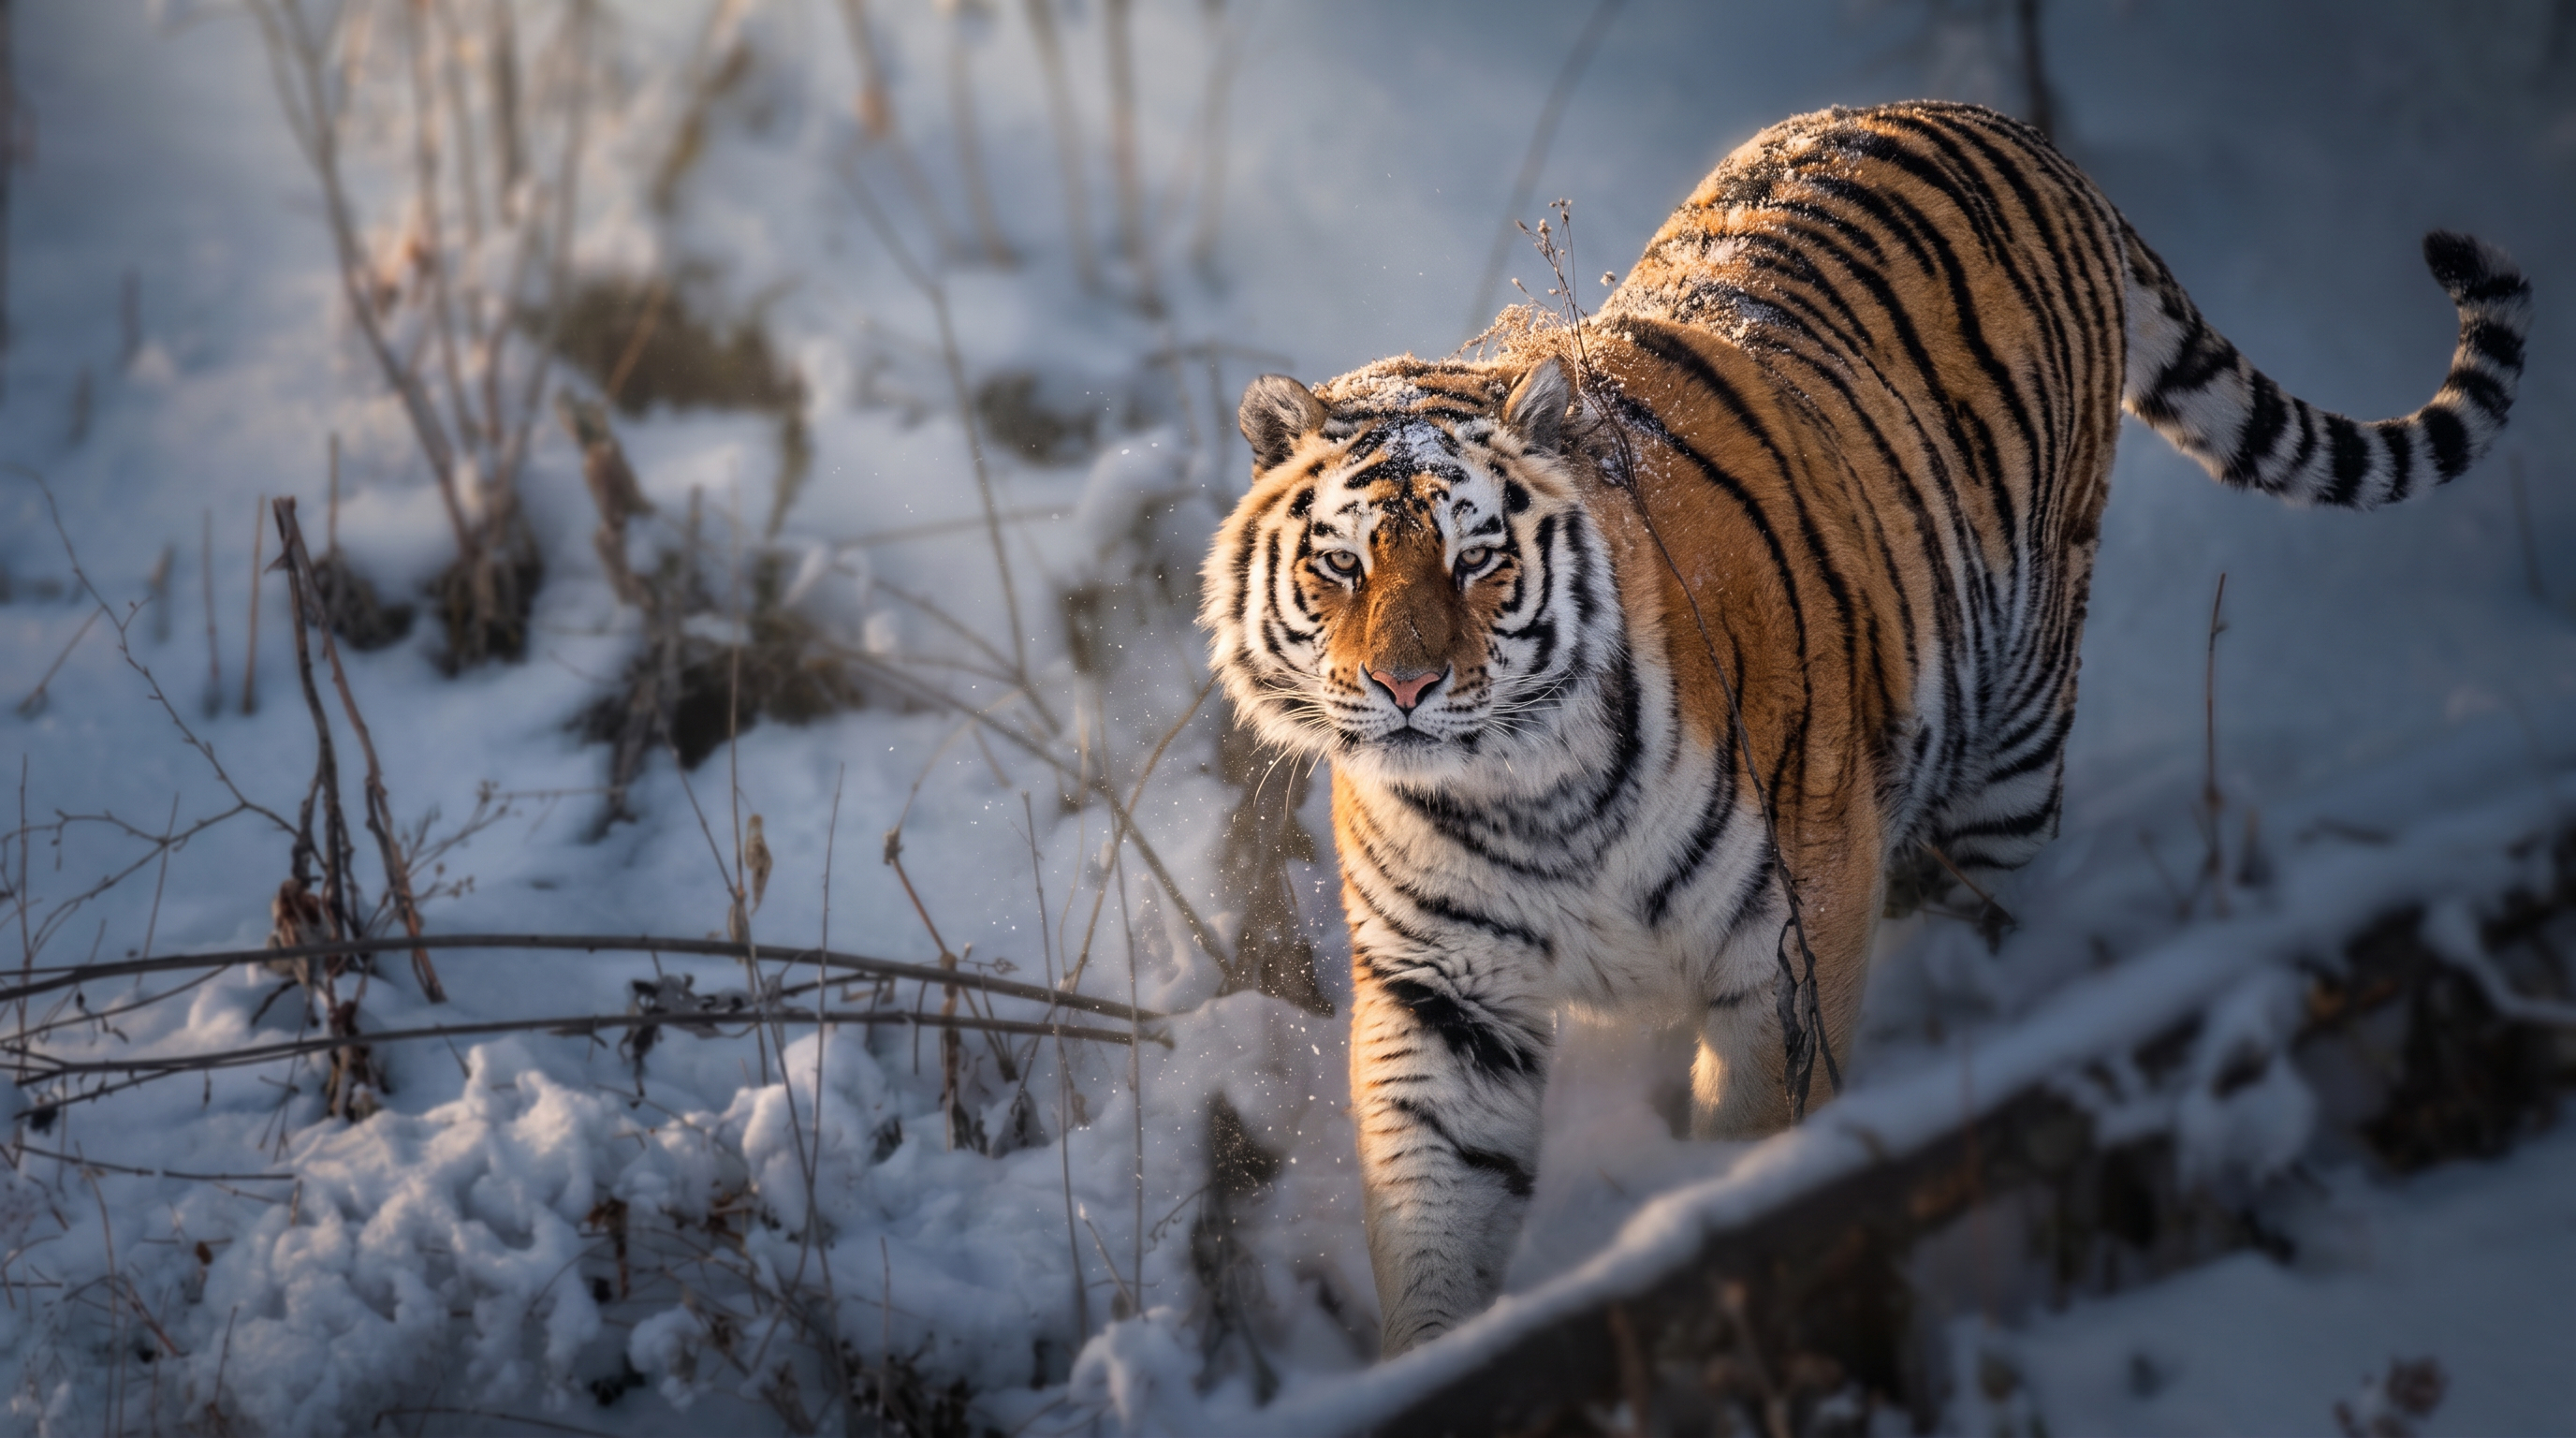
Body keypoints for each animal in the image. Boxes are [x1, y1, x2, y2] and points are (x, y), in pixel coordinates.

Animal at [1198, 99, 2529, 1356]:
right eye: (1340, 565)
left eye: (1476, 562)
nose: (1406, 686)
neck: (1525, 792)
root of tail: (1992, 122)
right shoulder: (1444, 992)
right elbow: (1436, 1207)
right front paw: (1429, 1356)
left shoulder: (1788, 930)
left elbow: (1751, 1136)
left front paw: (1708, 1238)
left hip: (2011, 745)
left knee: (1988, 923)